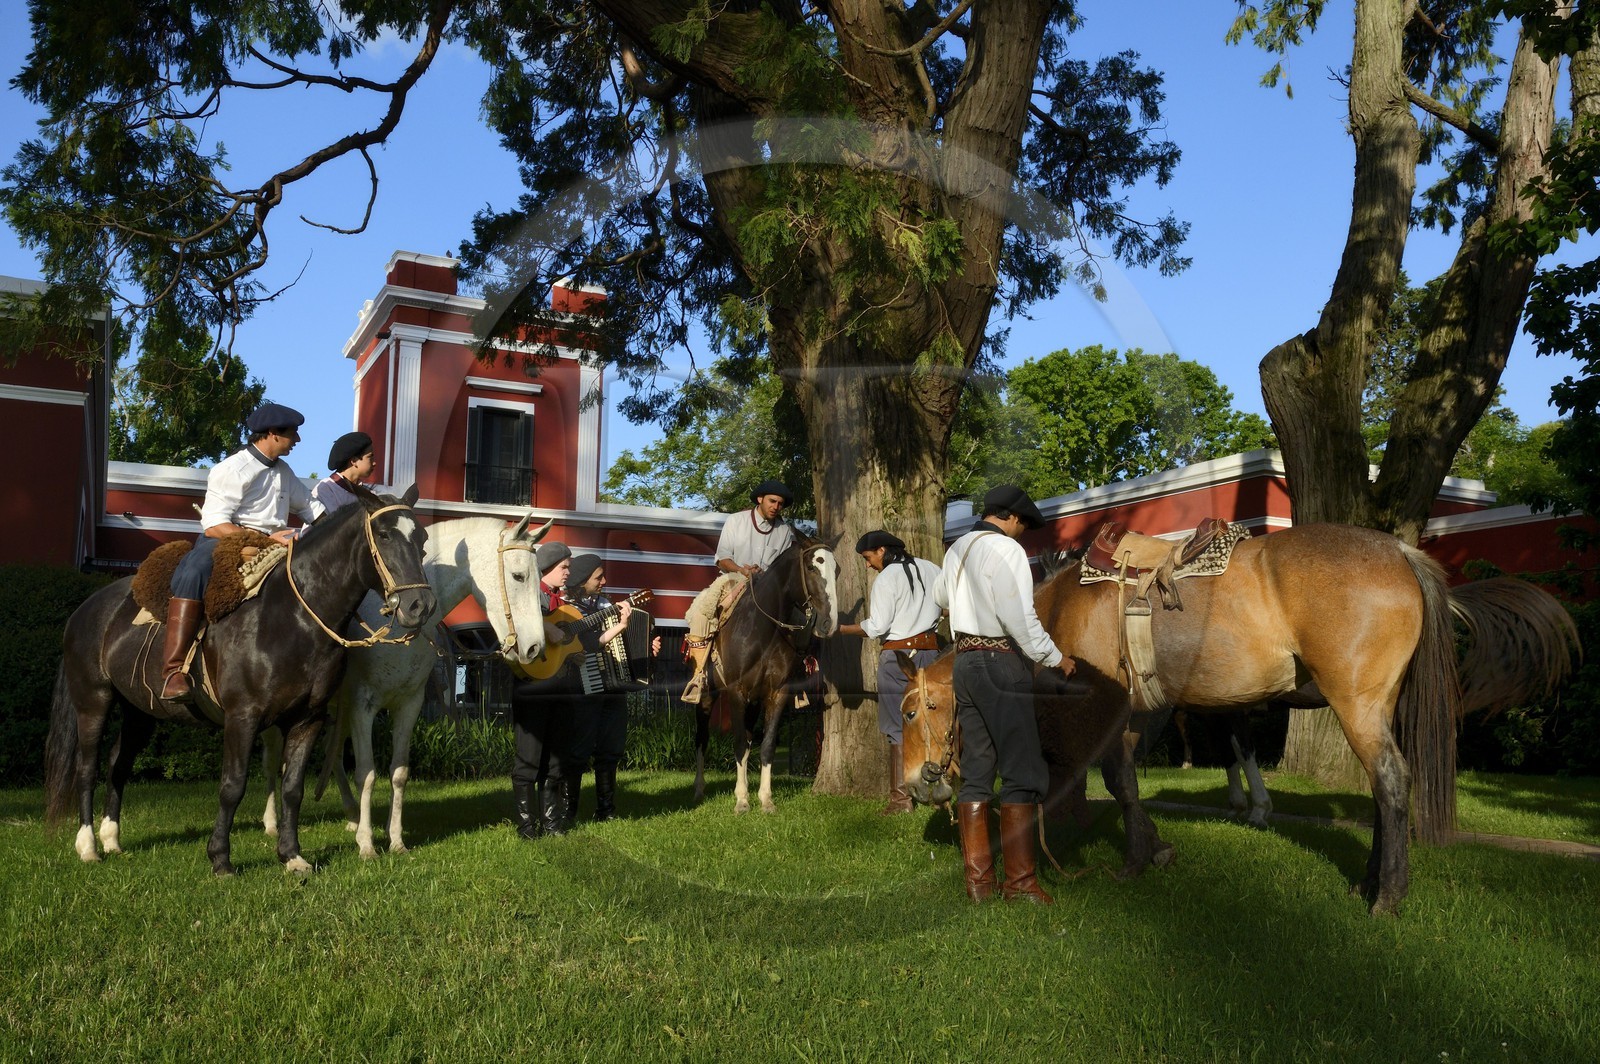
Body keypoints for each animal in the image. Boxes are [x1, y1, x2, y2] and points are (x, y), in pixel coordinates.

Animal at [44, 488, 436, 875]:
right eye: (383, 535)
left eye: (422, 538)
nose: (420, 605)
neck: (291, 617)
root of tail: (85, 610)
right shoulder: (242, 717)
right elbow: (233, 786)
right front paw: (220, 858)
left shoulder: (307, 720)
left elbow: (293, 788)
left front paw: (292, 856)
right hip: (93, 701)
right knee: (87, 768)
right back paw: (88, 846)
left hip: (140, 711)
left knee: (118, 764)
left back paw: (112, 840)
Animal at [259, 513, 554, 858]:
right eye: (519, 576)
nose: (534, 648)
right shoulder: (363, 706)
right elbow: (367, 774)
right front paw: (367, 845)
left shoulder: (408, 705)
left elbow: (398, 774)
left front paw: (395, 840)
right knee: (272, 760)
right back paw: (273, 823)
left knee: (333, 758)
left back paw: (351, 816)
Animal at [692, 535, 839, 813]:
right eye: (812, 567)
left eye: (836, 570)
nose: (829, 623)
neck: (764, 628)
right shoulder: (736, 691)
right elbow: (738, 744)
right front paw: (741, 800)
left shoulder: (777, 693)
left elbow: (767, 745)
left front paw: (765, 798)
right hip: (706, 694)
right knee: (702, 737)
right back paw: (699, 788)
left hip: (754, 702)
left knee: (750, 738)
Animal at [902, 523, 1576, 914]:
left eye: (918, 707)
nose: (914, 782)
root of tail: (1399, 549)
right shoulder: (1140, 716)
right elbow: (1127, 784)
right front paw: (1150, 851)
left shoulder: (1113, 713)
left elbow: (1120, 782)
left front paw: (1139, 858)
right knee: (1385, 790)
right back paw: (1368, 881)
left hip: (1357, 704)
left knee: (1391, 780)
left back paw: (1386, 896)